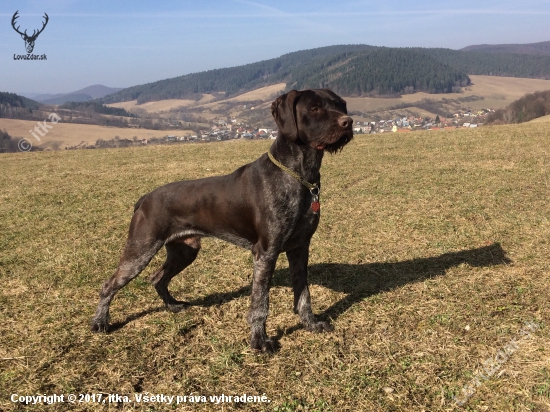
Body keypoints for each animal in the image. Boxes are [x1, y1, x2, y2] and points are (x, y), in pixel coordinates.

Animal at [91, 88, 354, 352]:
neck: (300, 177)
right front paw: (259, 341)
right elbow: (260, 304)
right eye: (314, 108)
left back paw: (173, 305)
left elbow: (303, 295)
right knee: (109, 285)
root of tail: (145, 199)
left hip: (184, 251)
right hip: (140, 252)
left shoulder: (299, 248)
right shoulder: (265, 253)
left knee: (157, 278)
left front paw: (311, 324)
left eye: (340, 105)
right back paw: (100, 322)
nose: (348, 122)